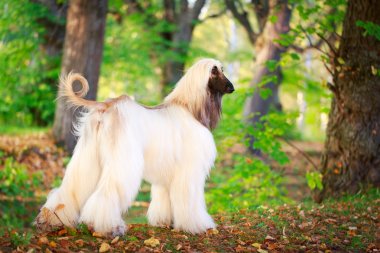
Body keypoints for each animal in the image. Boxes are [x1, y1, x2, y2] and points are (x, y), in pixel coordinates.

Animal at [35, 58, 235, 236]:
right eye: (214, 71)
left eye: (222, 69)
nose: (232, 88)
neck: (190, 109)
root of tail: (107, 105)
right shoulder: (189, 169)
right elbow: (190, 199)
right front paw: (197, 225)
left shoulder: (166, 171)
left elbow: (164, 196)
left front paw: (164, 222)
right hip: (123, 159)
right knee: (107, 193)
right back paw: (107, 227)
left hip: (87, 155)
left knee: (70, 188)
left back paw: (52, 220)